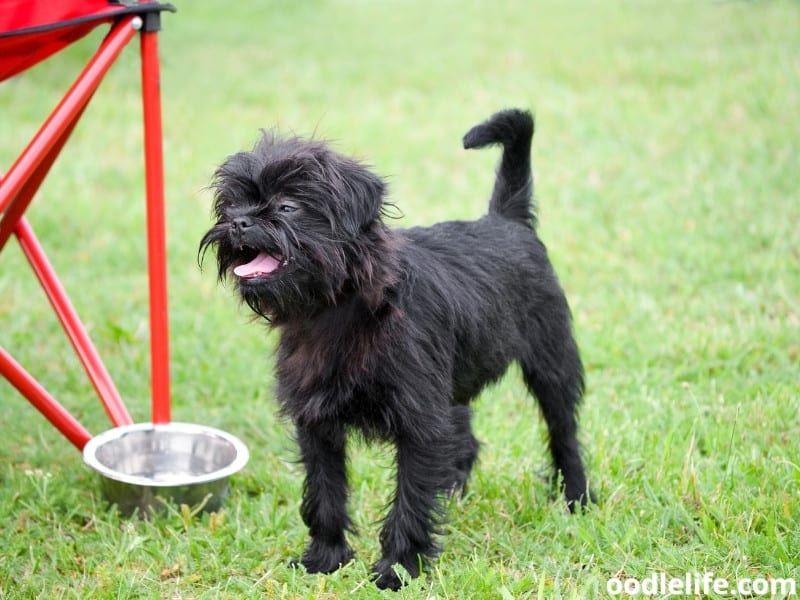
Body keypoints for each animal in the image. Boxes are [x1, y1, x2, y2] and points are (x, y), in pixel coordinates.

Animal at [198, 110, 588, 588]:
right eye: (231, 205)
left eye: (288, 207)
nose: (239, 222)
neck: (335, 307)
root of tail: (507, 220)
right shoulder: (317, 422)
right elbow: (324, 493)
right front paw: (325, 560)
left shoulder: (419, 422)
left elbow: (410, 498)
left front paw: (398, 569)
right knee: (465, 435)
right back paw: (453, 492)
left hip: (551, 360)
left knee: (563, 428)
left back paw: (576, 496)